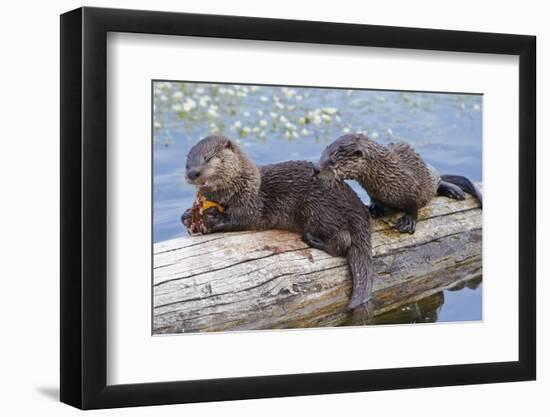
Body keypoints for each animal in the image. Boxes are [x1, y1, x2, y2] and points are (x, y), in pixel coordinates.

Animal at [181, 134, 376, 308]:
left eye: (208, 158)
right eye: (187, 162)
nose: (193, 173)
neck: (242, 185)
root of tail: (358, 210)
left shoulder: (251, 203)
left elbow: (240, 219)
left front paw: (213, 220)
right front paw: (187, 215)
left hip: (320, 210)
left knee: (343, 241)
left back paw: (312, 240)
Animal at [316, 133, 486, 234]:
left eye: (332, 162)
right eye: (321, 155)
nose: (316, 169)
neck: (384, 175)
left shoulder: (412, 186)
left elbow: (413, 206)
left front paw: (408, 222)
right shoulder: (373, 192)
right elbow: (375, 200)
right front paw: (375, 209)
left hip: (429, 176)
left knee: (438, 181)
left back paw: (453, 190)